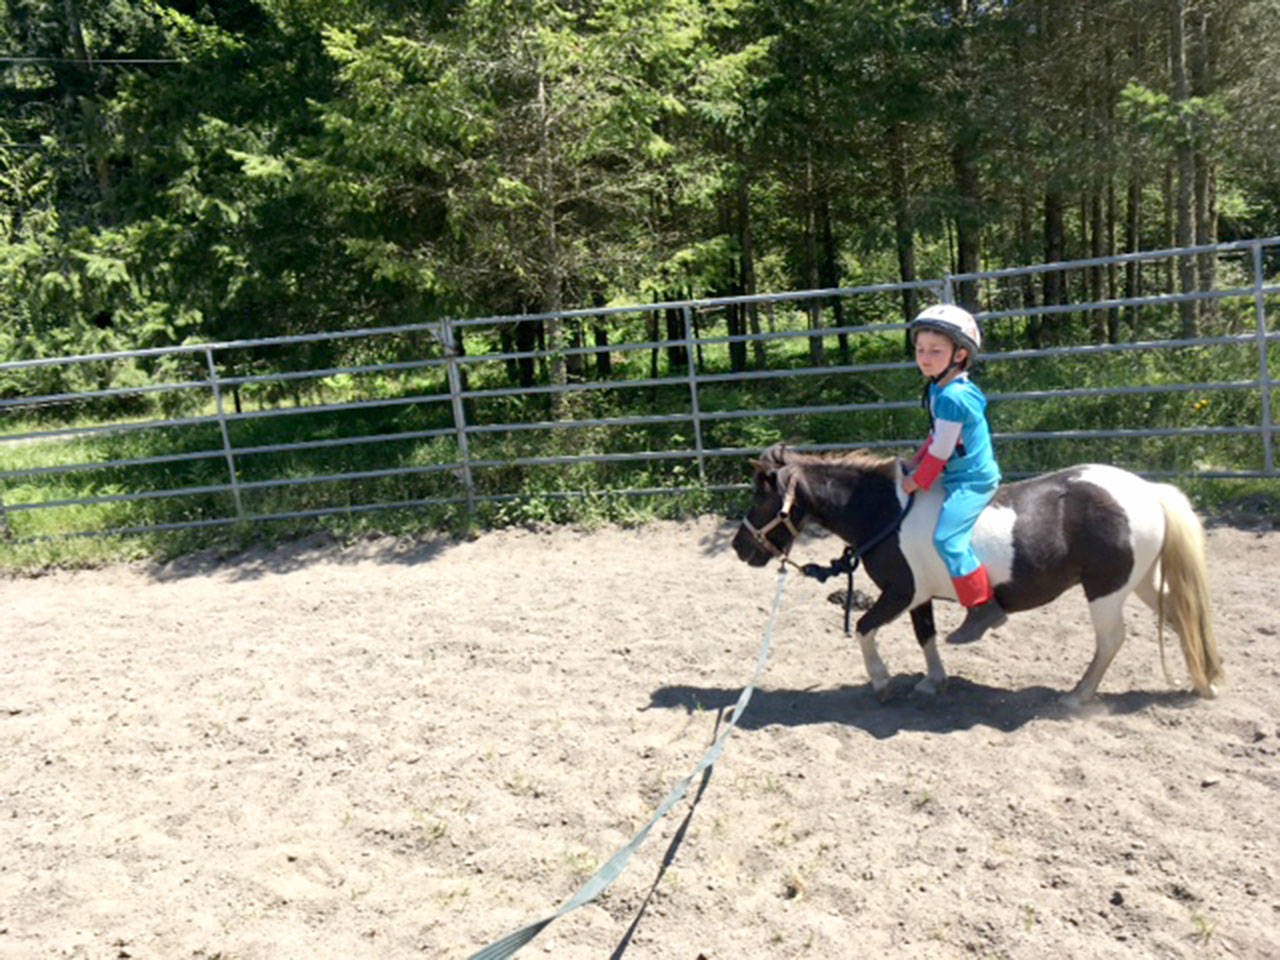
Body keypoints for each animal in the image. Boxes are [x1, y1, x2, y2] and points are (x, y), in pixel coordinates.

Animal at [731, 442, 1223, 707]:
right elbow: (925, 635)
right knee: (1179, 615)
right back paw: (1203, 681)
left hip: (1105, 590)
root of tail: (1147, 491)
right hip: (1138, 582)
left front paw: (882, 682)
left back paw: (1078, 695)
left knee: (1111, 640)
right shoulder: (919, 598)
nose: (739, 546)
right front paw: (932, 681)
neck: (886, 512)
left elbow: (866, 630)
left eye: (761, 496)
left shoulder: (899, 593)